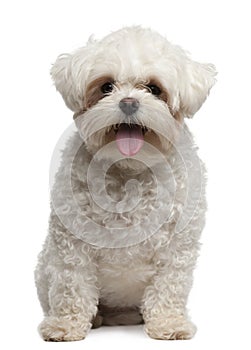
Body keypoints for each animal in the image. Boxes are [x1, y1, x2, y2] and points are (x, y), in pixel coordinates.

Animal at [34, 26, 216, 342]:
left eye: (154, 89)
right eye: (106, 86)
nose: (128, 102)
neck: (129, 168)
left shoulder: (177, 248)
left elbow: (169, 285)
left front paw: (169, 324)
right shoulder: (71, 245)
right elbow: (71, 285)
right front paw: (64, 326)